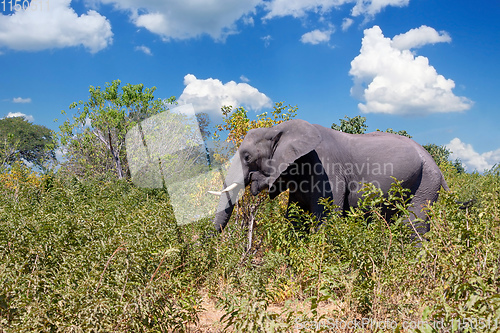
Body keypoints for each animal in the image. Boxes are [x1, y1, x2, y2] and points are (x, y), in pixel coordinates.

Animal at [208, 119, 450, 239]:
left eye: (247, 157)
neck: (278, 129)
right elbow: (294, 216)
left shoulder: (327, 168)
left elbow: (326, 215)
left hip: (426, 182)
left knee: (413, 223)